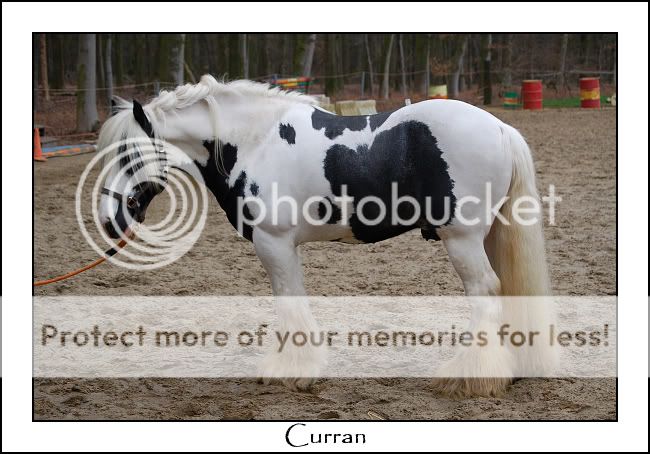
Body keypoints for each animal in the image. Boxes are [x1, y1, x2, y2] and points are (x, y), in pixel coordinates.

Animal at [98, 76, 556, 396]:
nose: (107, 221)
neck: (255, 141)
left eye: (128, 154)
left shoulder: (274, 243)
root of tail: (500, 128)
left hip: (461, 239)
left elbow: (288, 300)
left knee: (485, 291)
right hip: (486, 236)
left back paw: (470, 378)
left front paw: (290, 371)